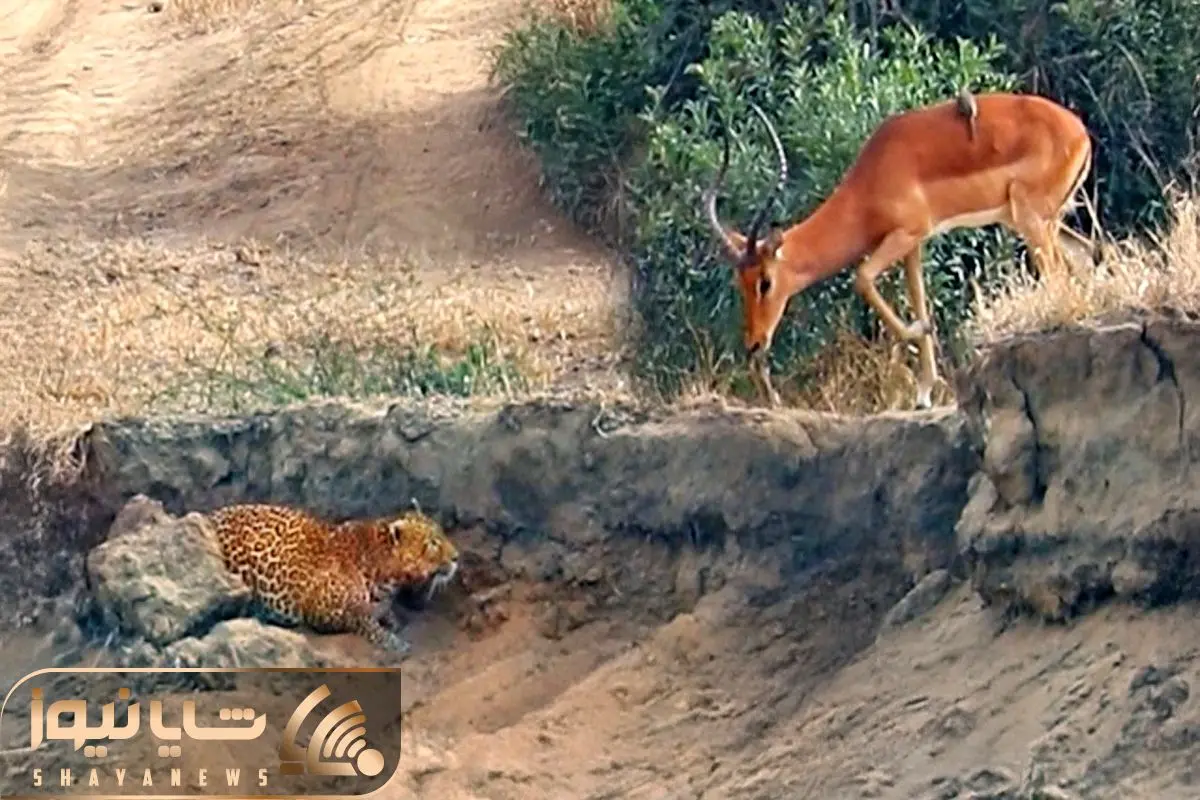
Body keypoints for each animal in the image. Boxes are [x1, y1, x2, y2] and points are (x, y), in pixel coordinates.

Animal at [204, 502, 459, 653]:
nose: (457, 557)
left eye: (441, 535)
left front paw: (394, 621)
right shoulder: (324, 609)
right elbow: (365, 620)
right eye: (433, 543)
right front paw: (395, 642)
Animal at [703, 91, 1093, 410]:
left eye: (765, 281)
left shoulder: (906, 234)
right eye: (740, 282)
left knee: (1058, 274)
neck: (869, 183)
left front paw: (920, 332)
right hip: (1043, 221)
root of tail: (1080, 131)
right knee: (1087, 254)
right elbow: (917, 294)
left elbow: (862, 278)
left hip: (1031, 221)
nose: (754, 343)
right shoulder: (913, 245)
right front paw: (924, 391)